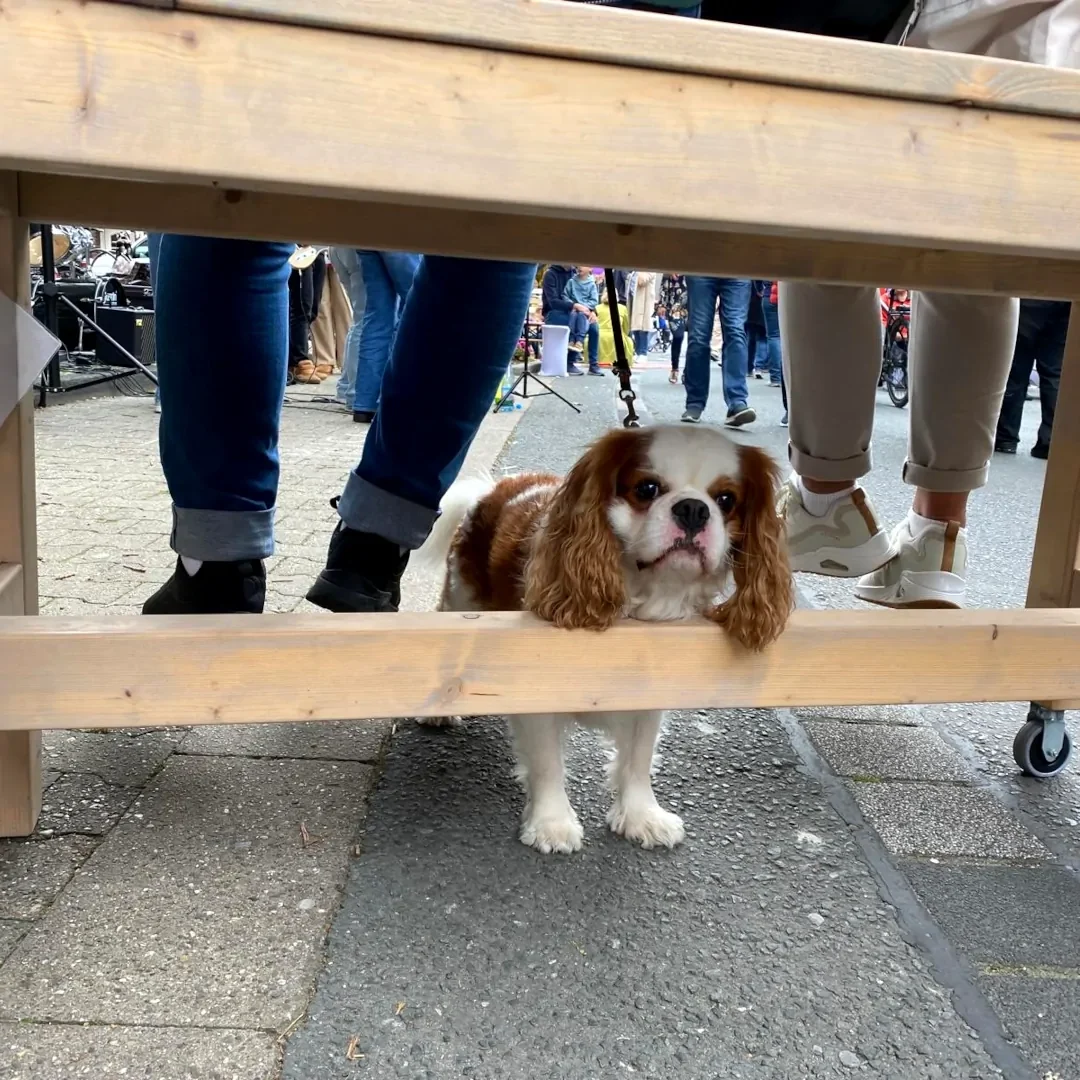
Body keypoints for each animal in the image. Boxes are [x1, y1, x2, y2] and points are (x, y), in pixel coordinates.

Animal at [416, 421, 790, 851]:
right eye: (647, 489)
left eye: (726, 499)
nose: (694, 509)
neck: (638, 599)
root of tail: (495, 487)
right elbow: (547, 762)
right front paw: (552, 823)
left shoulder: (649, 694)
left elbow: (639, 758)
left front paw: (641, 816)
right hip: (461, 598)